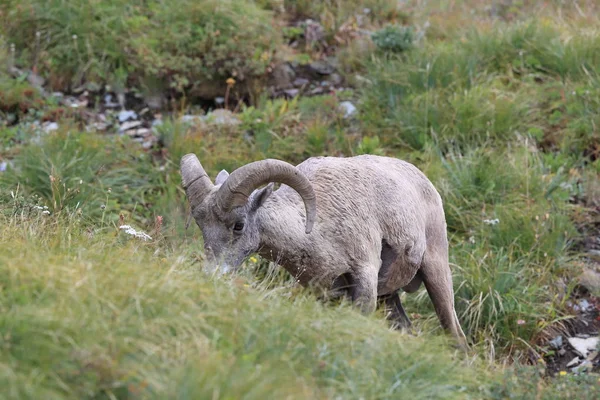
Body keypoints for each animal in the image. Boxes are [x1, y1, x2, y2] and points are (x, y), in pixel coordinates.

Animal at [182, 154, 468, 346]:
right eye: (202, 225)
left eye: (238, 225)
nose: (212, 275)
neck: (318, 230)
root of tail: (425, 182)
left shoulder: (364, 276)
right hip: (389, 297)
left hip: (436, 273)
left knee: (456, 334)